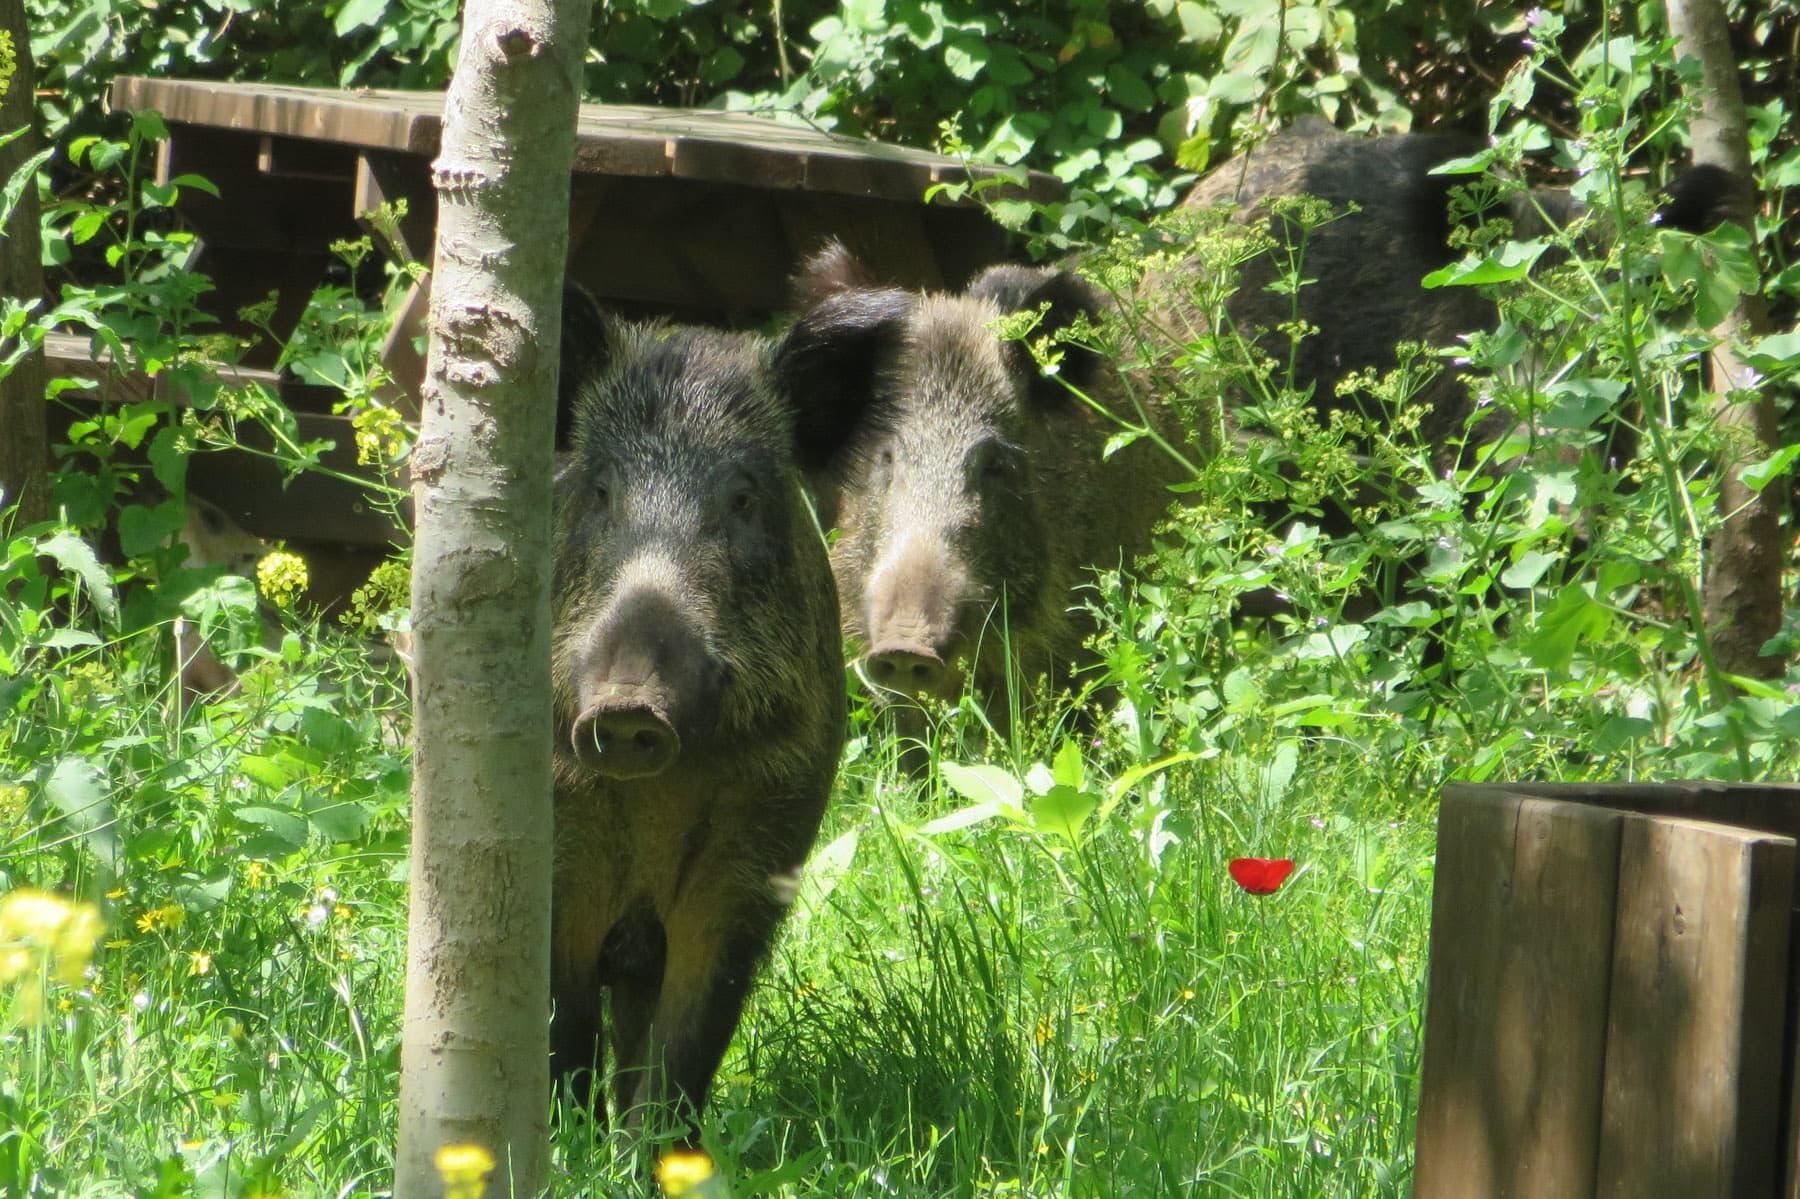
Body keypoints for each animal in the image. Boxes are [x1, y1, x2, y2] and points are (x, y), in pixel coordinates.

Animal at [548, 289, 881, 1133]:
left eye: (742, 497)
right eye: (600, 490)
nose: (628, 704)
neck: (657, 796)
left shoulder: (762, 845)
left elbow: (690, 1034)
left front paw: (650, 1149)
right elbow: (561, 1023)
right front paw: (569, 1142)